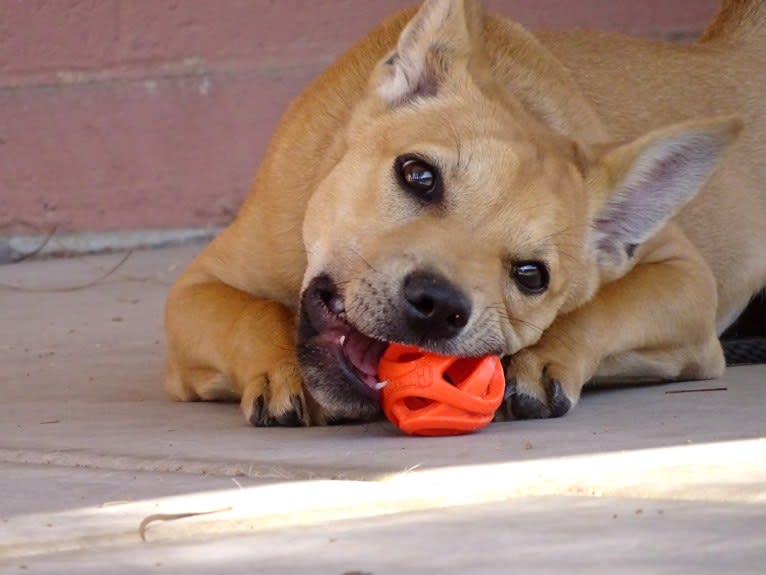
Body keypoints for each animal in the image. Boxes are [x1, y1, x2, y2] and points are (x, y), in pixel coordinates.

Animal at [164, 1, 766, 428]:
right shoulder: (196, 289)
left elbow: (599, 309)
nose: (437, 305)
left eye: (531, 276)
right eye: (418, 175)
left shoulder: (685, 277)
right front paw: (280, 370)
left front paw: (542, 360)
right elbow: (252, 314)